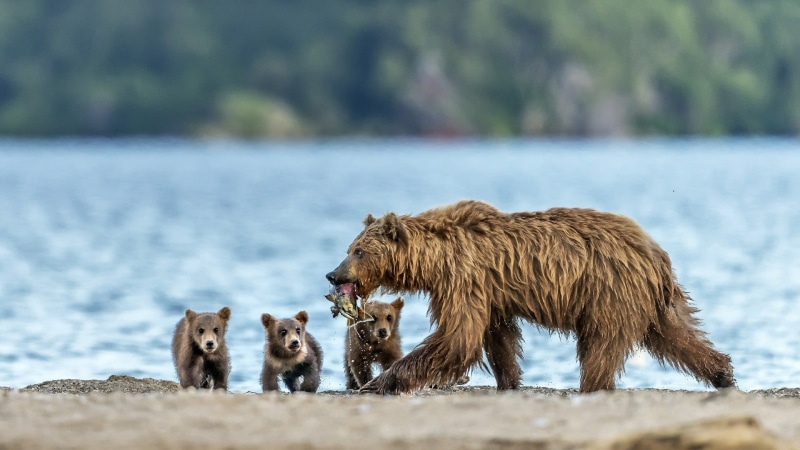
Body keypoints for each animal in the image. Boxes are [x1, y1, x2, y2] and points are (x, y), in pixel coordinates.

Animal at [325, 200, 736, 395]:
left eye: (359, 251)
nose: (334, 274)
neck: (435, 259)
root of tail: (656, 254)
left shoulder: (465, 279)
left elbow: (458, 337)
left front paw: (381, 382)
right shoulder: (490, 293)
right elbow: (498, 336)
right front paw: (509, 379)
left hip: (609, 291)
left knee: (601, 345)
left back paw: (593, 384)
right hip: (651, 300)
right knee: (676, 336)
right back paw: (723, 372)